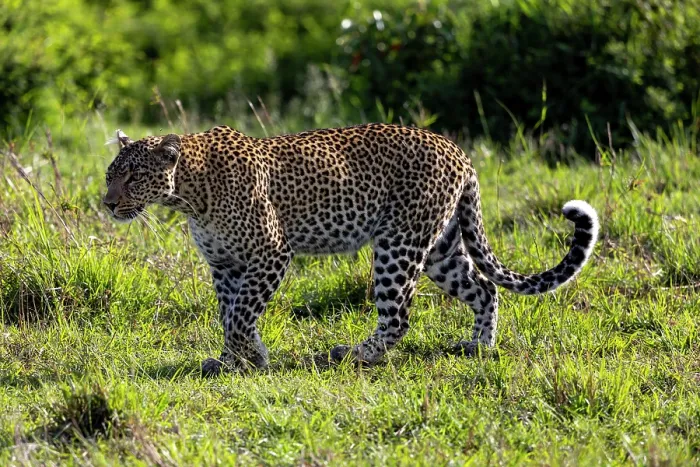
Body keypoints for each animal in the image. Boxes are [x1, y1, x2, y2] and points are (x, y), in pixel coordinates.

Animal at [103, 123, 599, 376]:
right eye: (111, 174)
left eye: (132, 176)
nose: (106, 203)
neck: (188, 193)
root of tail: (458, 149)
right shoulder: (225, 265)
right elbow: (229, 315)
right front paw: (230, 361)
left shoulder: (271, 253)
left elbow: (242, 314)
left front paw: (254, 357)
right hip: (440, 247)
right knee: (484, 288)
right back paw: (478, 346)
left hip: (398, 244)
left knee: (398, 318)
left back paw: (358, 354)